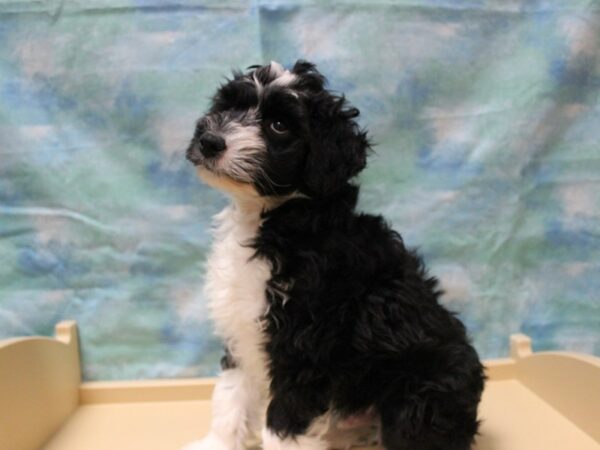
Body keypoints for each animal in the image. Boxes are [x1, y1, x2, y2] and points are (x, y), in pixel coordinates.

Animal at [182, 60, 482, 450]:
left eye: (279, 125)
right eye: (228, 106)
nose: (210, 141)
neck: (274, 220)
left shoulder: (306, 349)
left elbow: (284, 423)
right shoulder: (242, 332)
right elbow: (231, 397)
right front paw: (217, 442)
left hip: (421, 396)